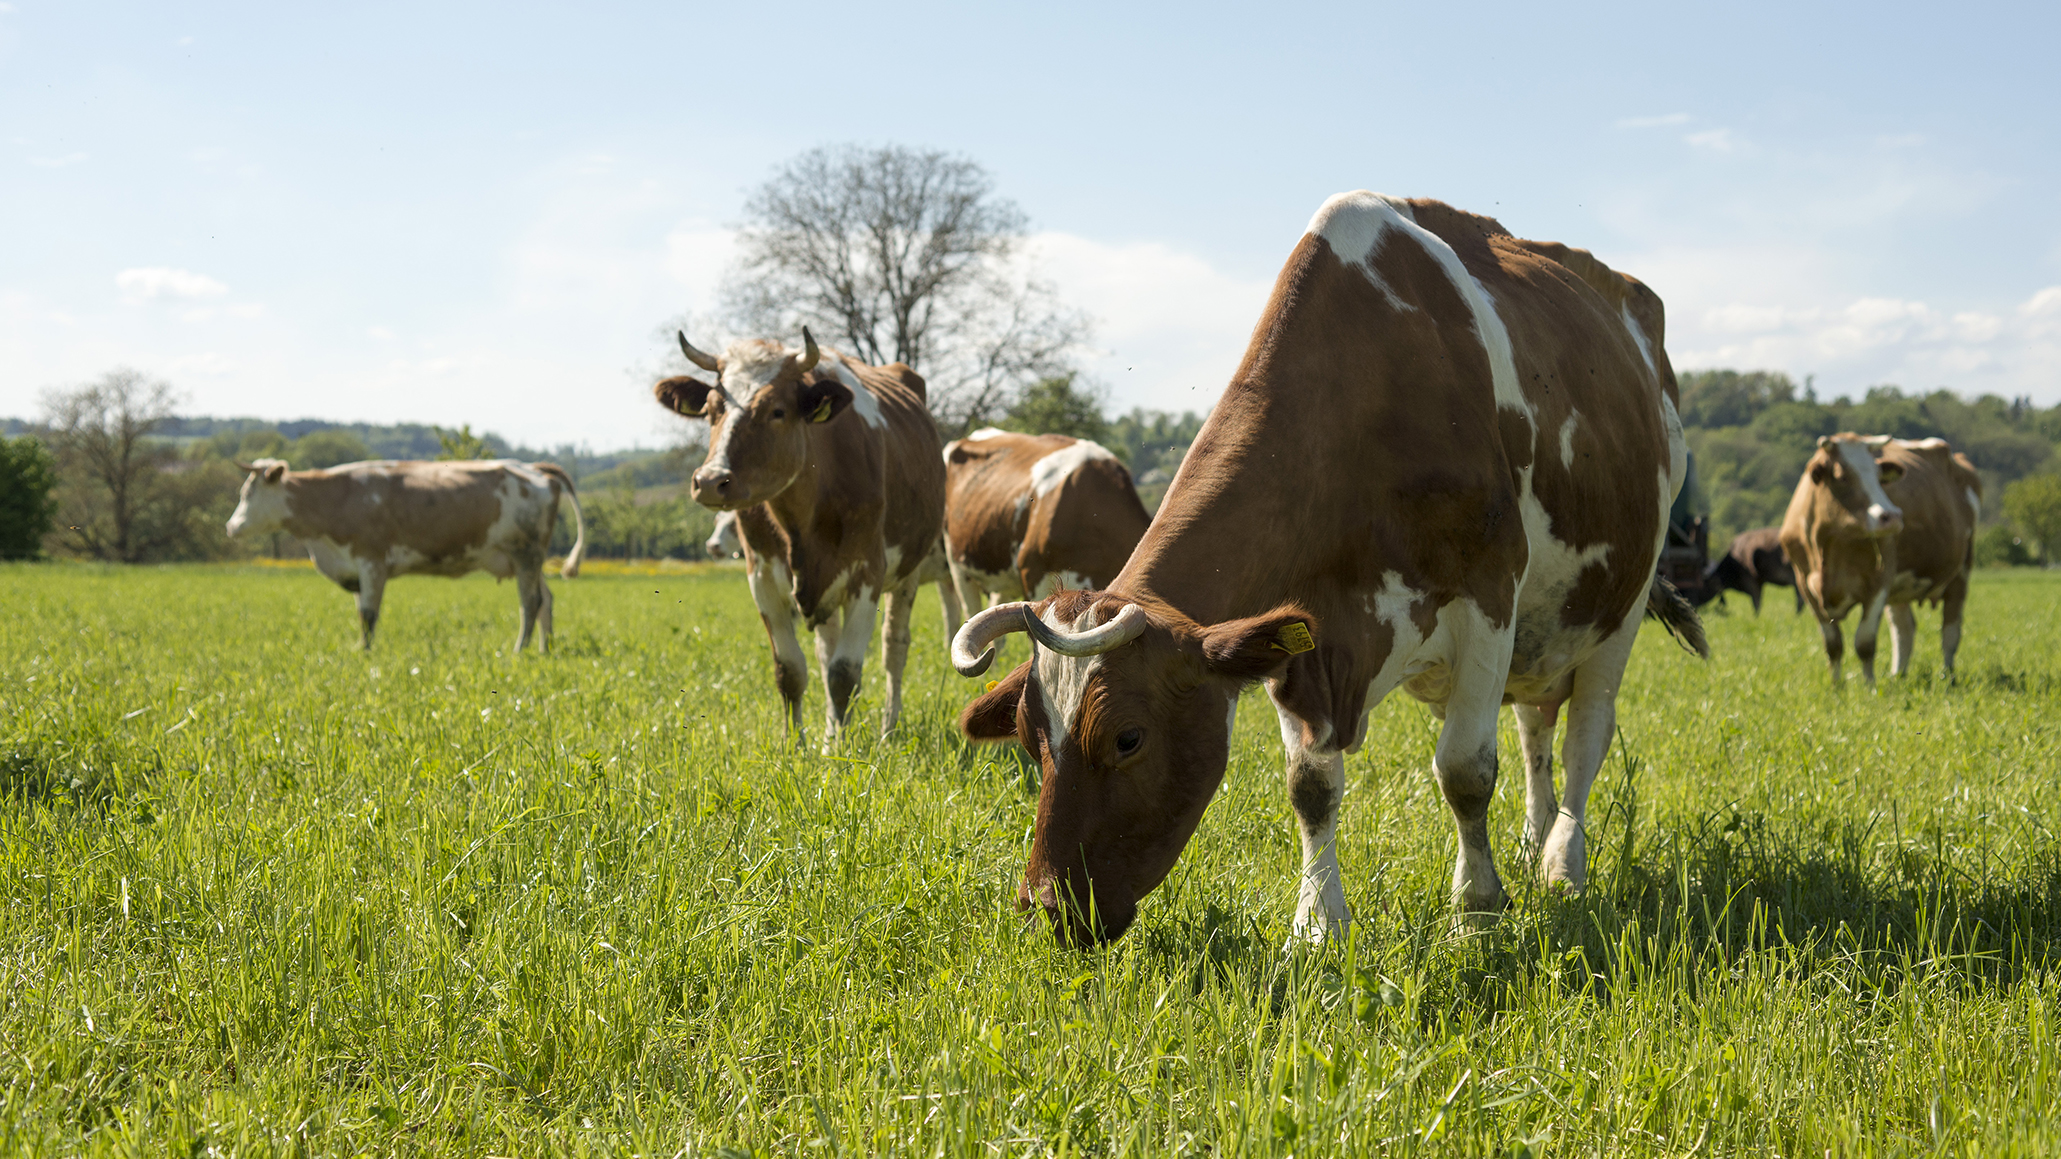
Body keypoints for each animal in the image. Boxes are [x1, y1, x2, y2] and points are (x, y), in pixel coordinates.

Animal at [225, 458, 587, 651]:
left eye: (248, 493)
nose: (230, 527)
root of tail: (533, 468)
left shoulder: (371, 562)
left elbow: (368, 614)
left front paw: (366, 651)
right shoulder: (355, 568)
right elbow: (361, 612)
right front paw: (361, 647)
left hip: (526, 554)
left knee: (531, 603)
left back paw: (518, 650)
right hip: (528, 560)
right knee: (546, 600)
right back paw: (545, 648)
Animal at [653, 329, 946, 745]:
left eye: (777, 411)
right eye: (710, 409)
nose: (710, 481)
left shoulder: (867, 572)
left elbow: (844, 674)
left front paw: (839, 750)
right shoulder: (761, 575)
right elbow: (791, 670)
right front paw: (797, 744)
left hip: (909, 570)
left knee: (894, 648)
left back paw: (887, 729)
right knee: (826, 651)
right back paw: (829, 733)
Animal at [1780, 434, 1979, 685]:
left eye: (1879, 477)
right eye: (1842, 477)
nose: (1891, 516)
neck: (1828, 544)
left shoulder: (1878, 583)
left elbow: (1865, 643)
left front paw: (1869, 687)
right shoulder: (1806, 587)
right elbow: (1833, 645)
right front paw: (1836, 687)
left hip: (1961, 572)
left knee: (1950, 631)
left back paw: (1947, 677)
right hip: (1899, 587)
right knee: (1904, 629)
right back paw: (1898, 675)